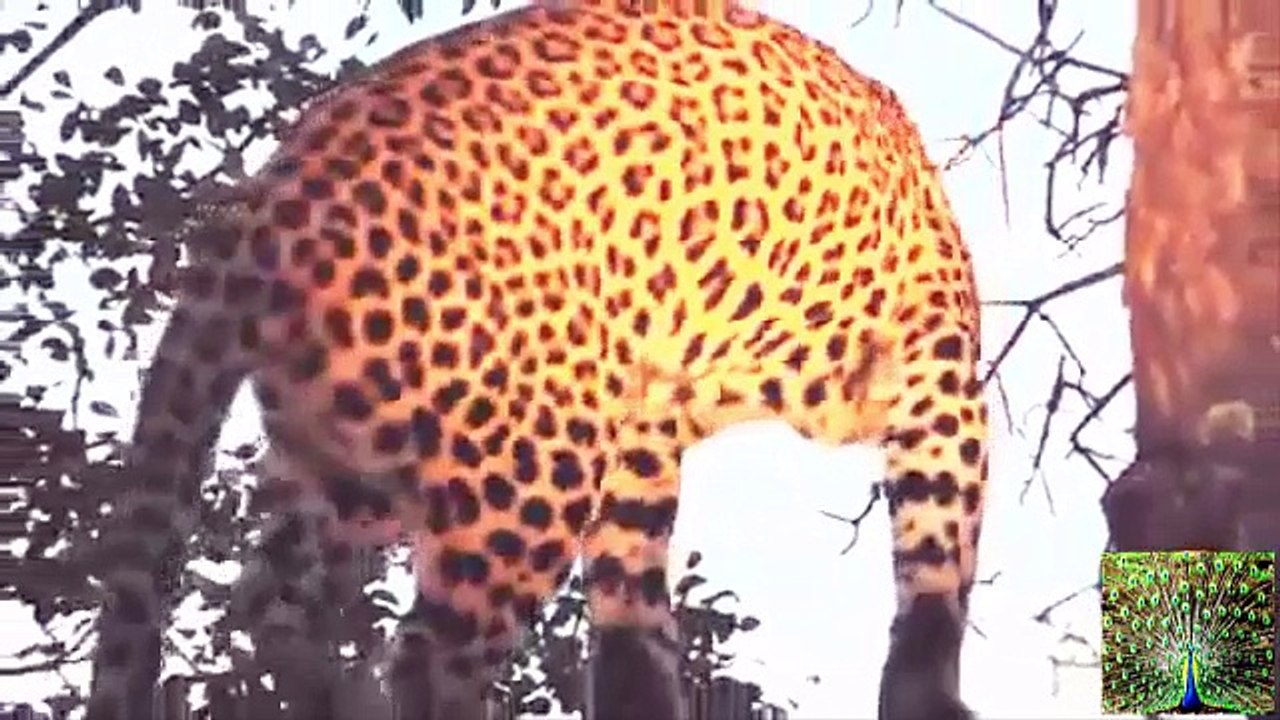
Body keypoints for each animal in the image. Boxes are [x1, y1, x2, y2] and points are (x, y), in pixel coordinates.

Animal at [85, 1, 988, 719]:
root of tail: (261, 213)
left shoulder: (643, 442)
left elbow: (630, 625)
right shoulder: (941, 374)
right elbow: (939, 568)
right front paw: (929, 698)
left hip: (351, 454)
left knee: (272, 602)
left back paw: (325, 693)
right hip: (527, 465)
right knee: (427, 654)